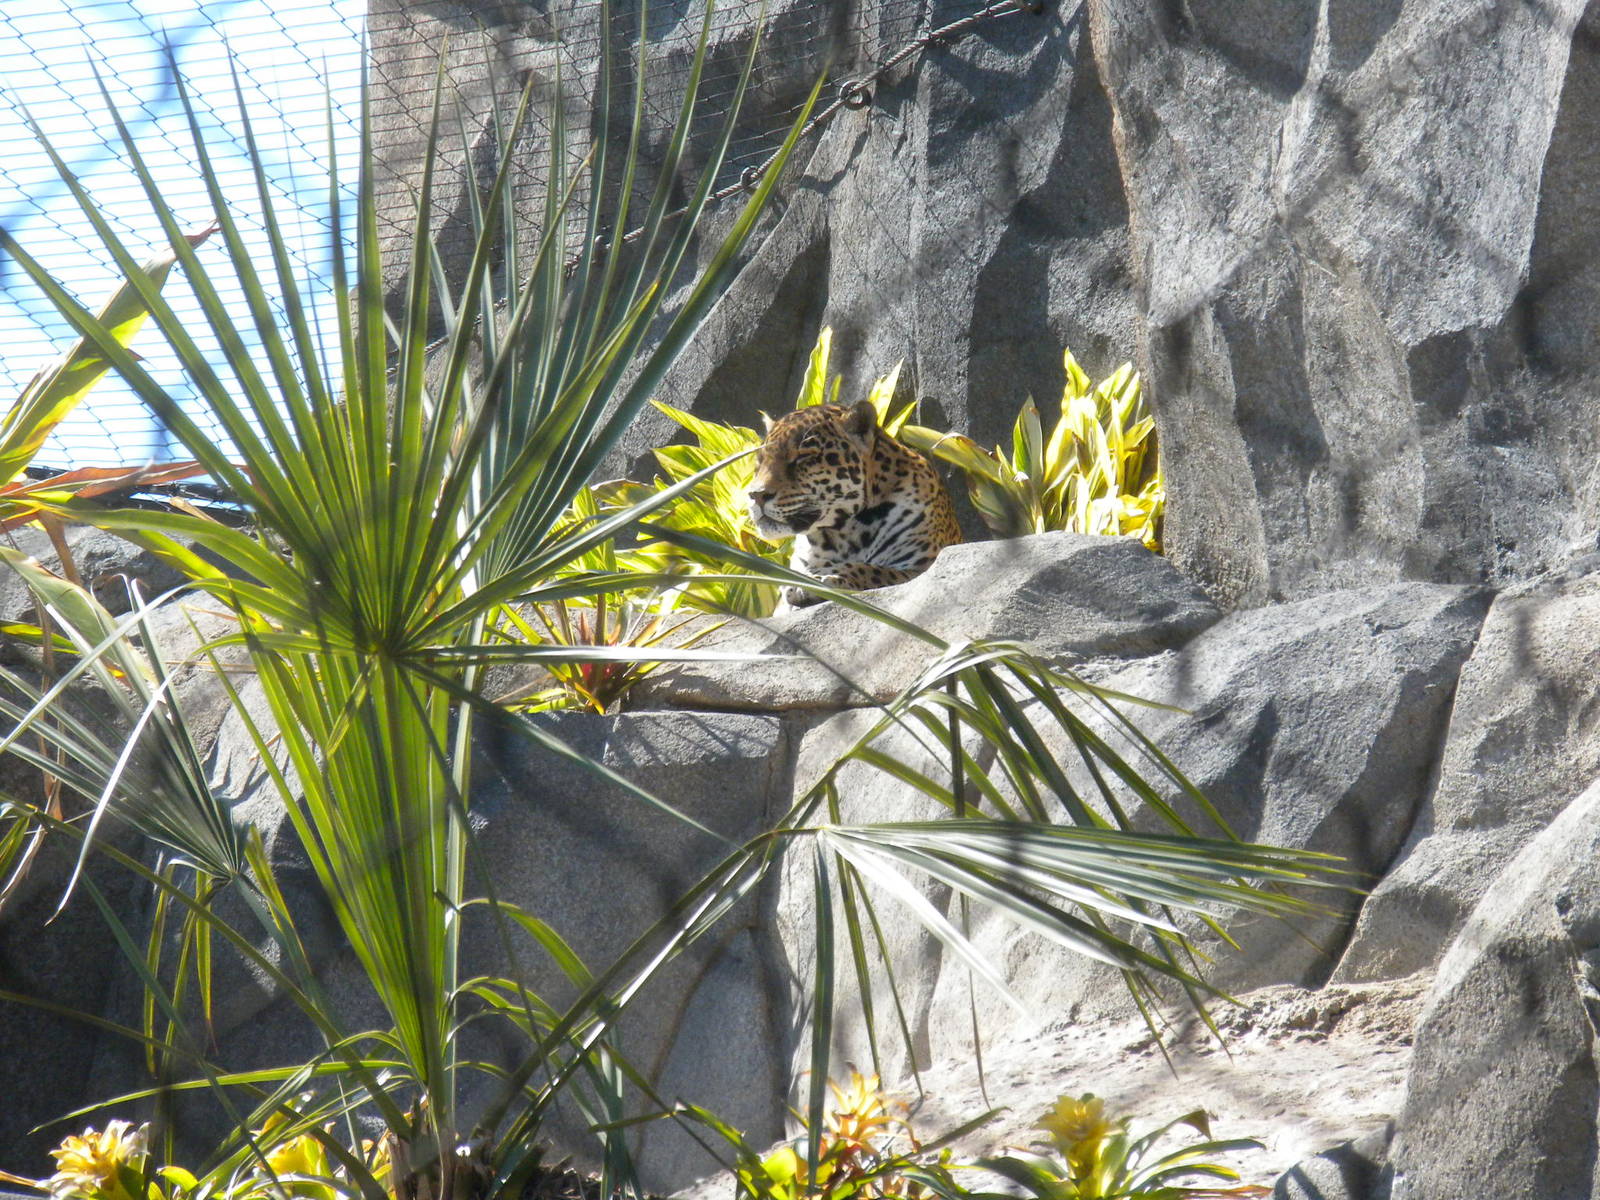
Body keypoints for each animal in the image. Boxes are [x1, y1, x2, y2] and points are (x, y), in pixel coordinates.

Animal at [746, 400, 962, 608]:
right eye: (760, 460)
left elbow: (873, 569)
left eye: (803, 457)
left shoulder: (919, 568)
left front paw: (821, 577)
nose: (756, 495)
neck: (839, 534)